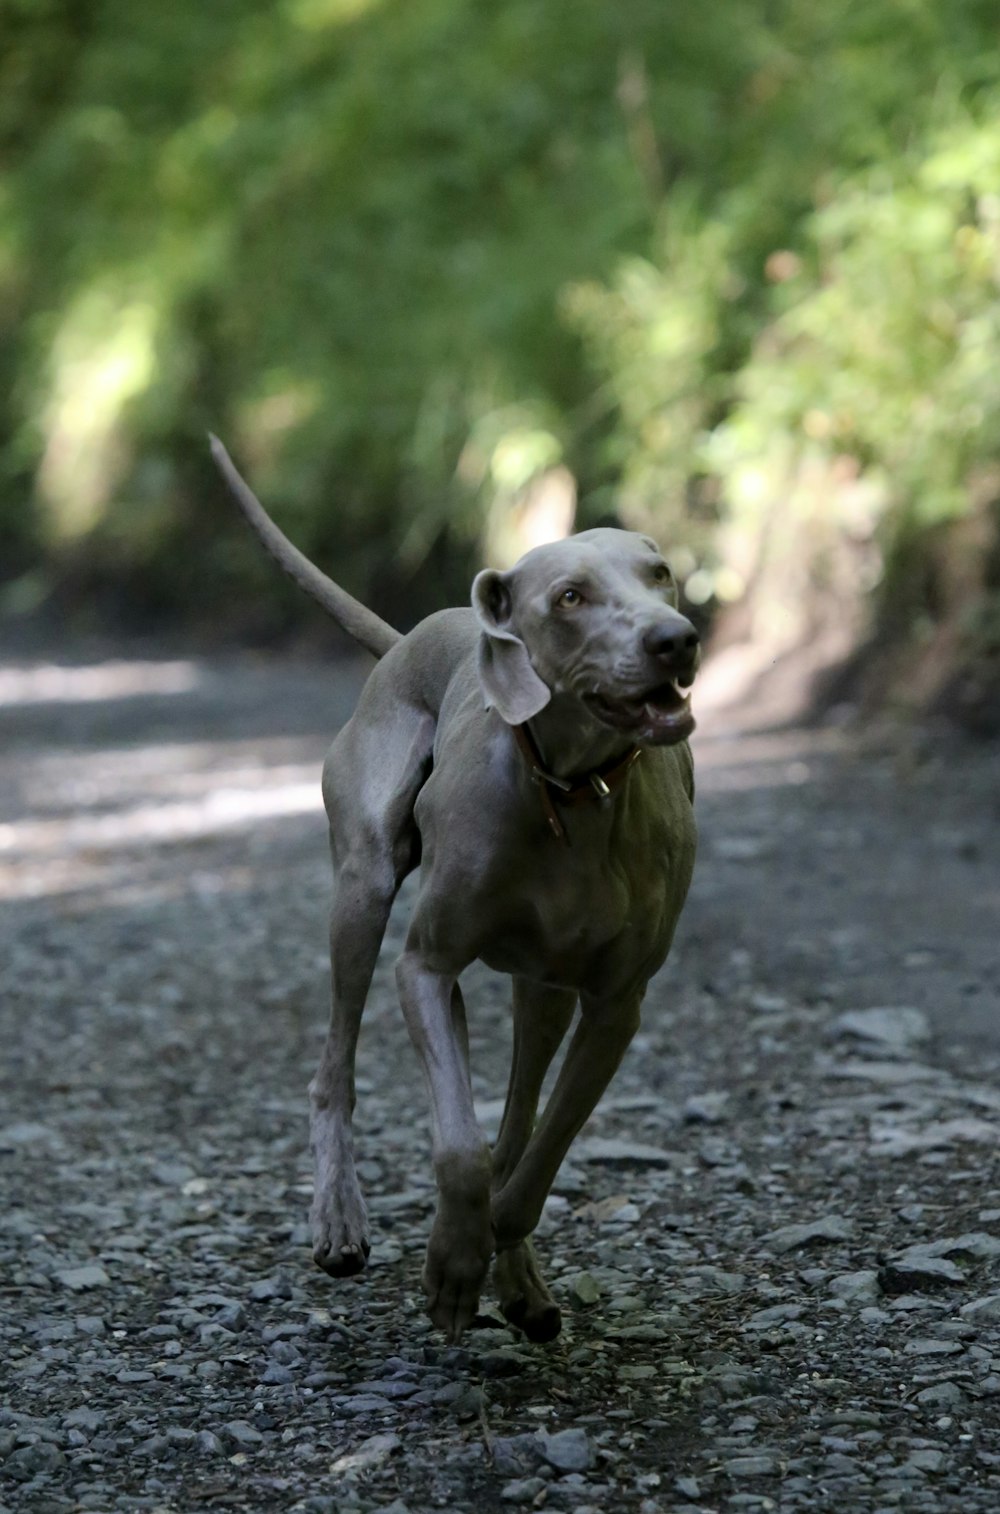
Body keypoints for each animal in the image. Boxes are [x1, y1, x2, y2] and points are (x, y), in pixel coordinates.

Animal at [210, 436, 698, 1338]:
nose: (676, 640)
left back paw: (520, 1278)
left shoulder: (617, 1004)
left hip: (543, 991)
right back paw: (340, 1221)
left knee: (520, 1109)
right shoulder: (427, 967)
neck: (571, 794)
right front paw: (453, 1262)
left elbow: (536, 1154)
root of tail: (416, 632)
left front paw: (495, 1252)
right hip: (362, 891)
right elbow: (461, 1148)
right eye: (571, 596)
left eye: (660, 573)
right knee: (335, 1070)